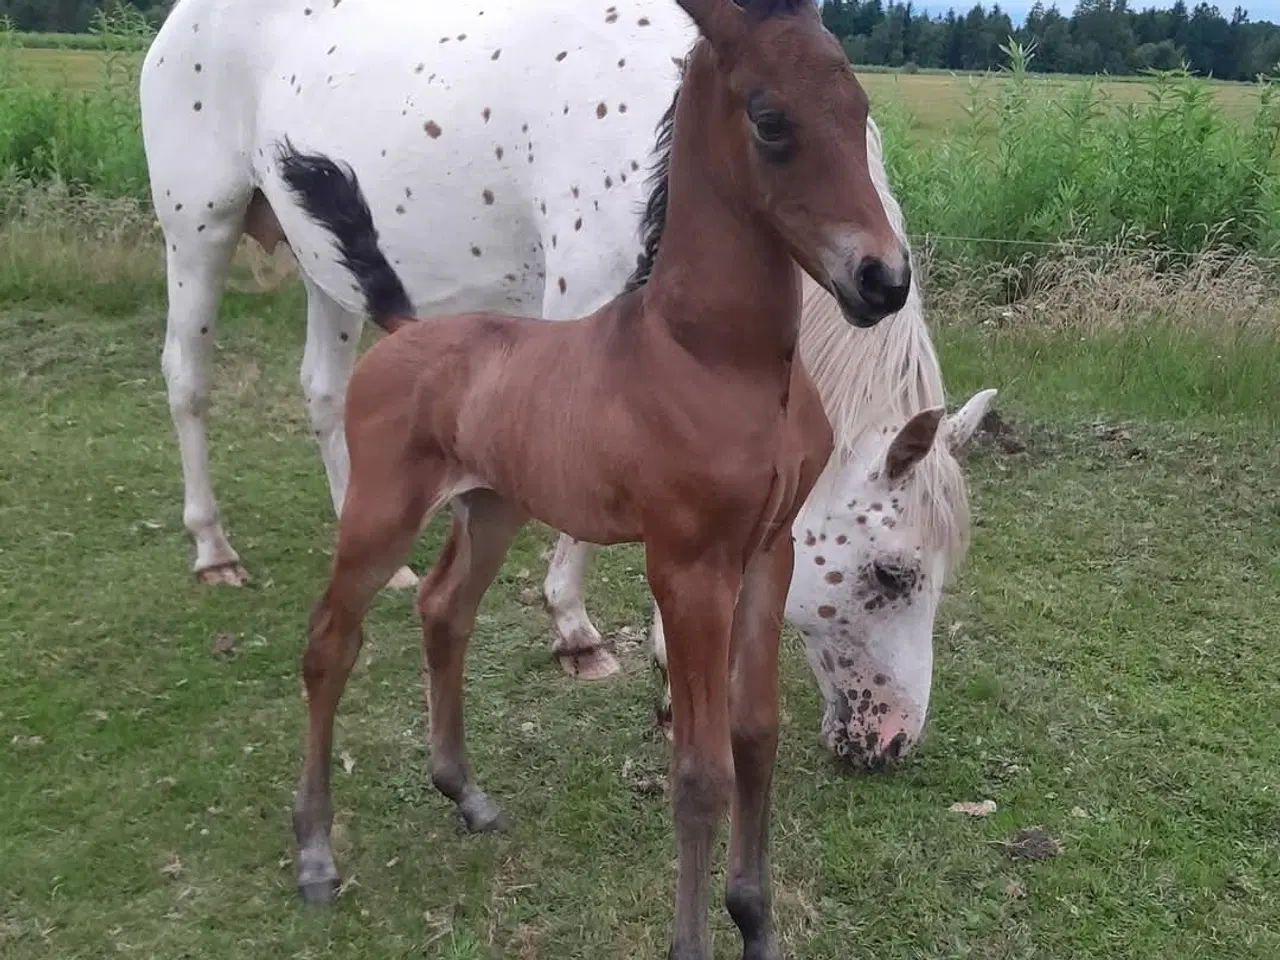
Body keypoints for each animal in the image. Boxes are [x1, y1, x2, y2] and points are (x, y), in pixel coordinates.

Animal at [142, 0, 998, 773]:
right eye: (892, 573)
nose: (892, 741)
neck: (664, 120)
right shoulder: (582, 308)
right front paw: (583, 634)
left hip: (327, 264)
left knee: (323, 391)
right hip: (199, 232)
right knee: (187, 380)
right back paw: (212, 549)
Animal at [277, 3, 911, 957]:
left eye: (860, 104)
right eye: (770, 121)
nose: (883, 279)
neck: (714, 356)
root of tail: (407, 329)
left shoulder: (769, 552)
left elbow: (756, 736)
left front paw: (756, 922)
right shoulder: (686, 569)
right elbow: (700, 769)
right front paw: (694, 941)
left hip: (492, 506)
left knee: (443, 609)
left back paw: (465, 794)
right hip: (380, 513)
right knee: (329, 644)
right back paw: (316, 852)